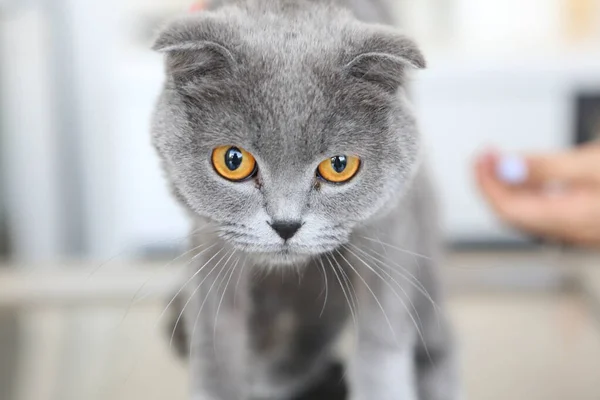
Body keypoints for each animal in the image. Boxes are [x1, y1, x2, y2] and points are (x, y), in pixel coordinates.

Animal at [152, 0, 462, 400]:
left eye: (339, 165)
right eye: (233, 161)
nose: (286, 225)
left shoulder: (387, 227)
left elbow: (380, 334)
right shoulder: (209, 239)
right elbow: (215, 341)